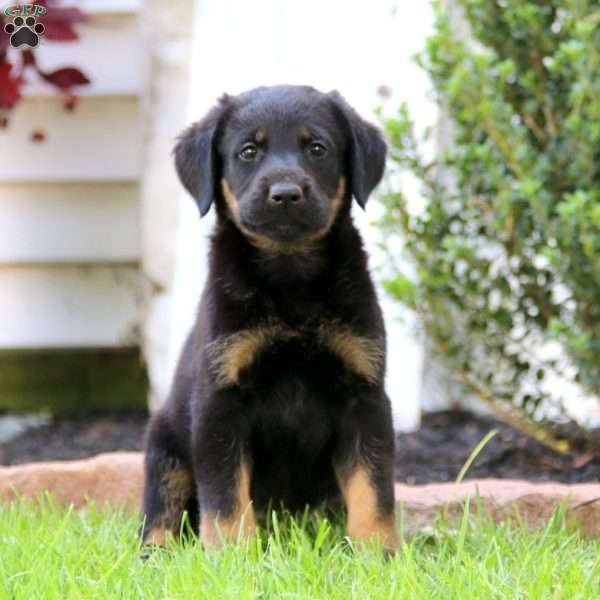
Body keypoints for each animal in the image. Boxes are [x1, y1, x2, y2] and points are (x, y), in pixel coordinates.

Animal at [142, 84, 398, 552]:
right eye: (248, 152)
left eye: (317, 148)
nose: (285, 193)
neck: (290, 279)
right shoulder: (219, 400)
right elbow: (225, 496)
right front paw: (231, 554)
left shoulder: (365, 395)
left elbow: (373, 487)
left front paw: (376, 552)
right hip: (164, 446)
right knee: (161, 511)